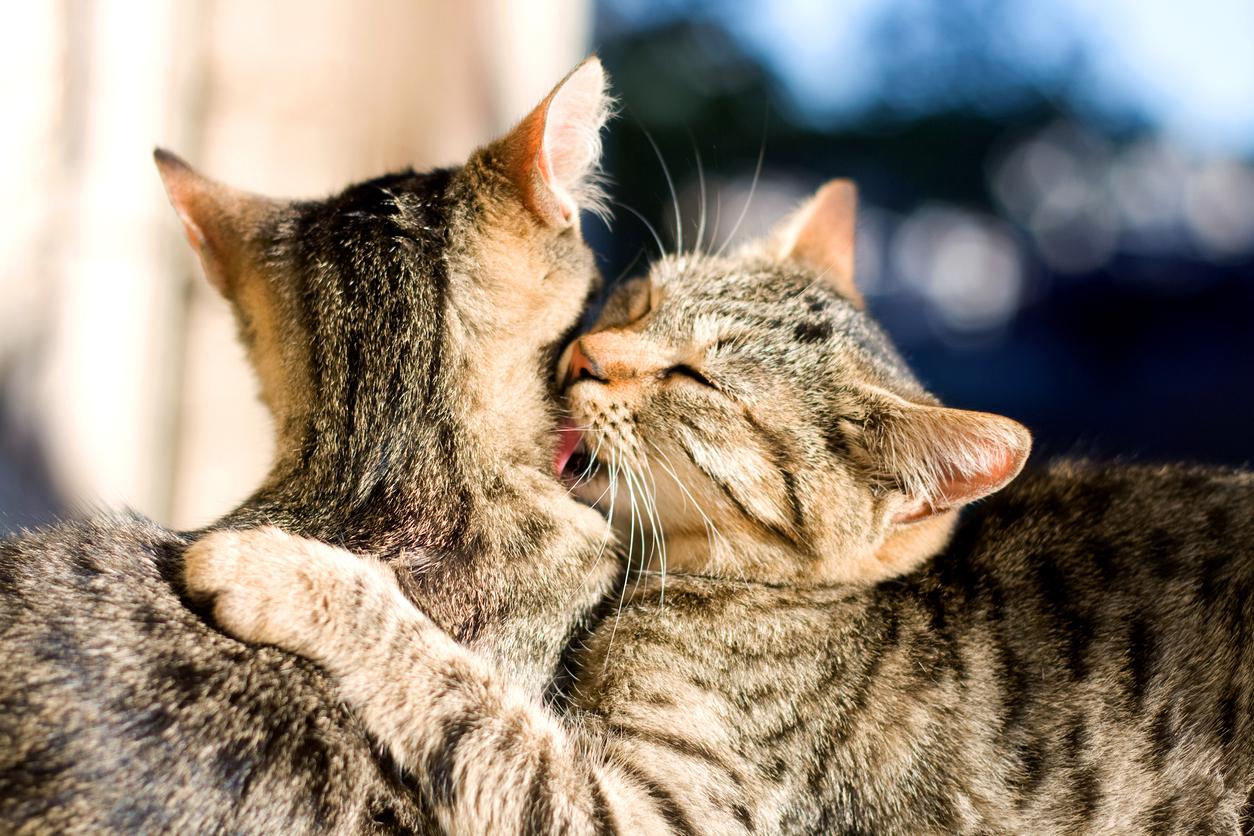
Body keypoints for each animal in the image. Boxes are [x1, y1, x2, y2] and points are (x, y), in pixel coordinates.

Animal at [185, 180, 1254, 832]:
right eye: (638, 303)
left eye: (697, 379)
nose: (583, 357)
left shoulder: (653, 809)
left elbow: (461, 693)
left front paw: (285, 570)